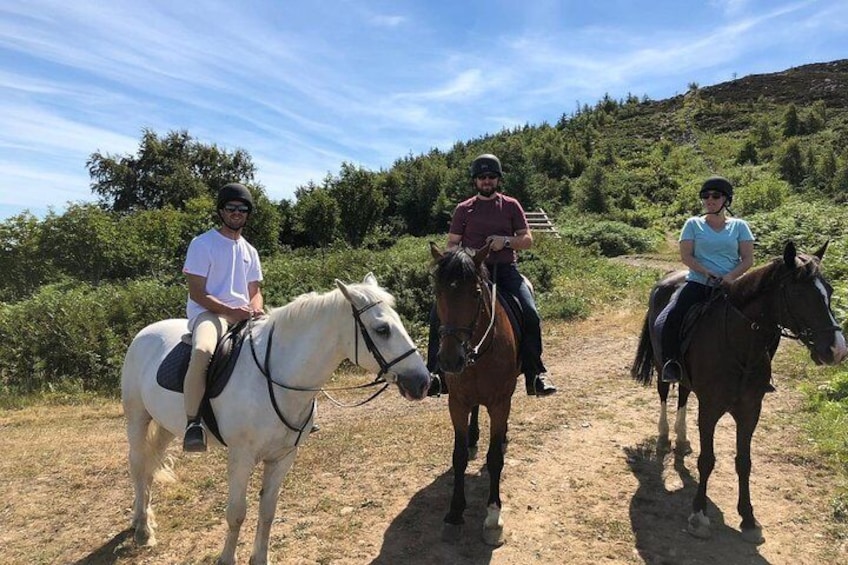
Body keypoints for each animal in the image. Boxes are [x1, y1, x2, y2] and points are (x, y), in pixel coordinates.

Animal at [121, 274, 430, 564]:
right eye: (382, 330)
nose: (423, 382)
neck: (276, 376)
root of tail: (145, 333)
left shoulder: (283, 457)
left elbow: (268, 511)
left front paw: (260, 558)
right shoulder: (241, 457)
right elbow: (236, 513)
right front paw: (226, 559)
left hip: (166, 426)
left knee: (150, 465)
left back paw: (143, 519)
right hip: (137, 418)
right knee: (137, 465)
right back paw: (142, 529)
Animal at [434, 242, 520, 548]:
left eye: (476, 293)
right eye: (438, 292)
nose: (450, 359)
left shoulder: (500, 402)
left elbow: (494, 459)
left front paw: (493, 518)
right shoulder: (457, 403)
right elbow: (458, 456)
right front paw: (454, 514)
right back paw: (473, 438)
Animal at [632, 241, 844, 540]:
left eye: (830, 291)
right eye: (799, 294)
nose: (837, 350)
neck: (739, 344)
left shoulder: (750, 410)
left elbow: (744, 462)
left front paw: (748, 518)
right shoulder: (709, 409)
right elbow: (707, 460)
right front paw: (699, 515)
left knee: (683, 395)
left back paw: (682, 438)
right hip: (664, 365)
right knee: (664, 394)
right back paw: (664, 436)